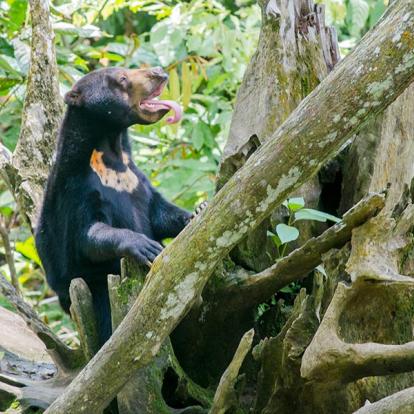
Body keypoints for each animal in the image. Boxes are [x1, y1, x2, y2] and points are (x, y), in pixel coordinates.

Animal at [36, 66, 195, 344]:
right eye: (122, 78)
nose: (159, 72)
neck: (111, 152)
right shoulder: (76, 189)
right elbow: (87, 233)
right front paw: (144, 246)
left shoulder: (136, 178)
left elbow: (158, 211)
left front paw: (197, 211)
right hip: (91, 287)